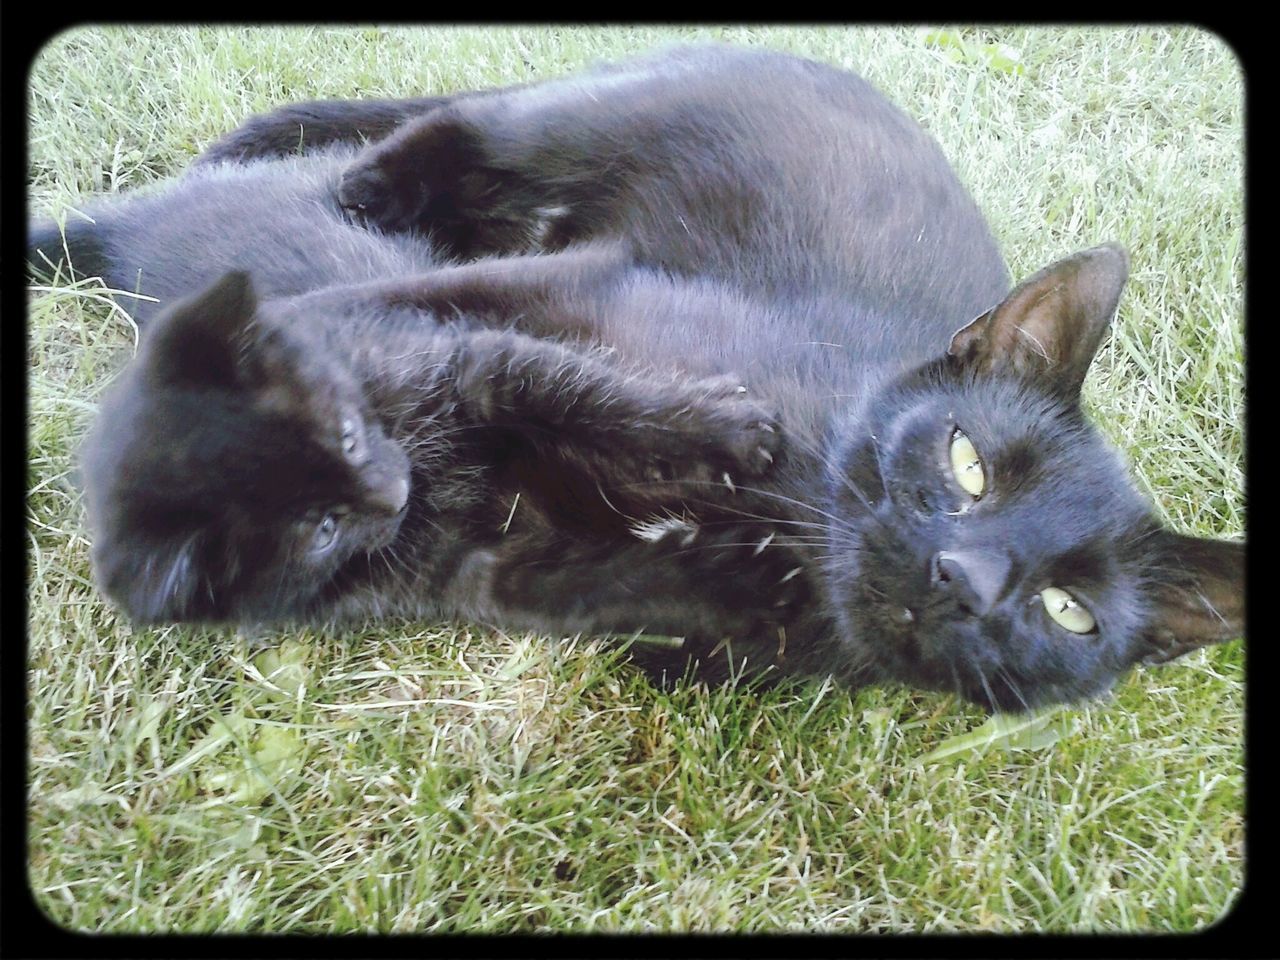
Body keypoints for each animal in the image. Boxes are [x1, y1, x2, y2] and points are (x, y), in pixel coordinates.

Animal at [35, 45, 1244, 711]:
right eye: (967, 463)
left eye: (1067, 614)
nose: (966, 578)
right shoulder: (583, 281)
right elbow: (473, 328)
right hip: (540, 132)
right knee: (417, 143)